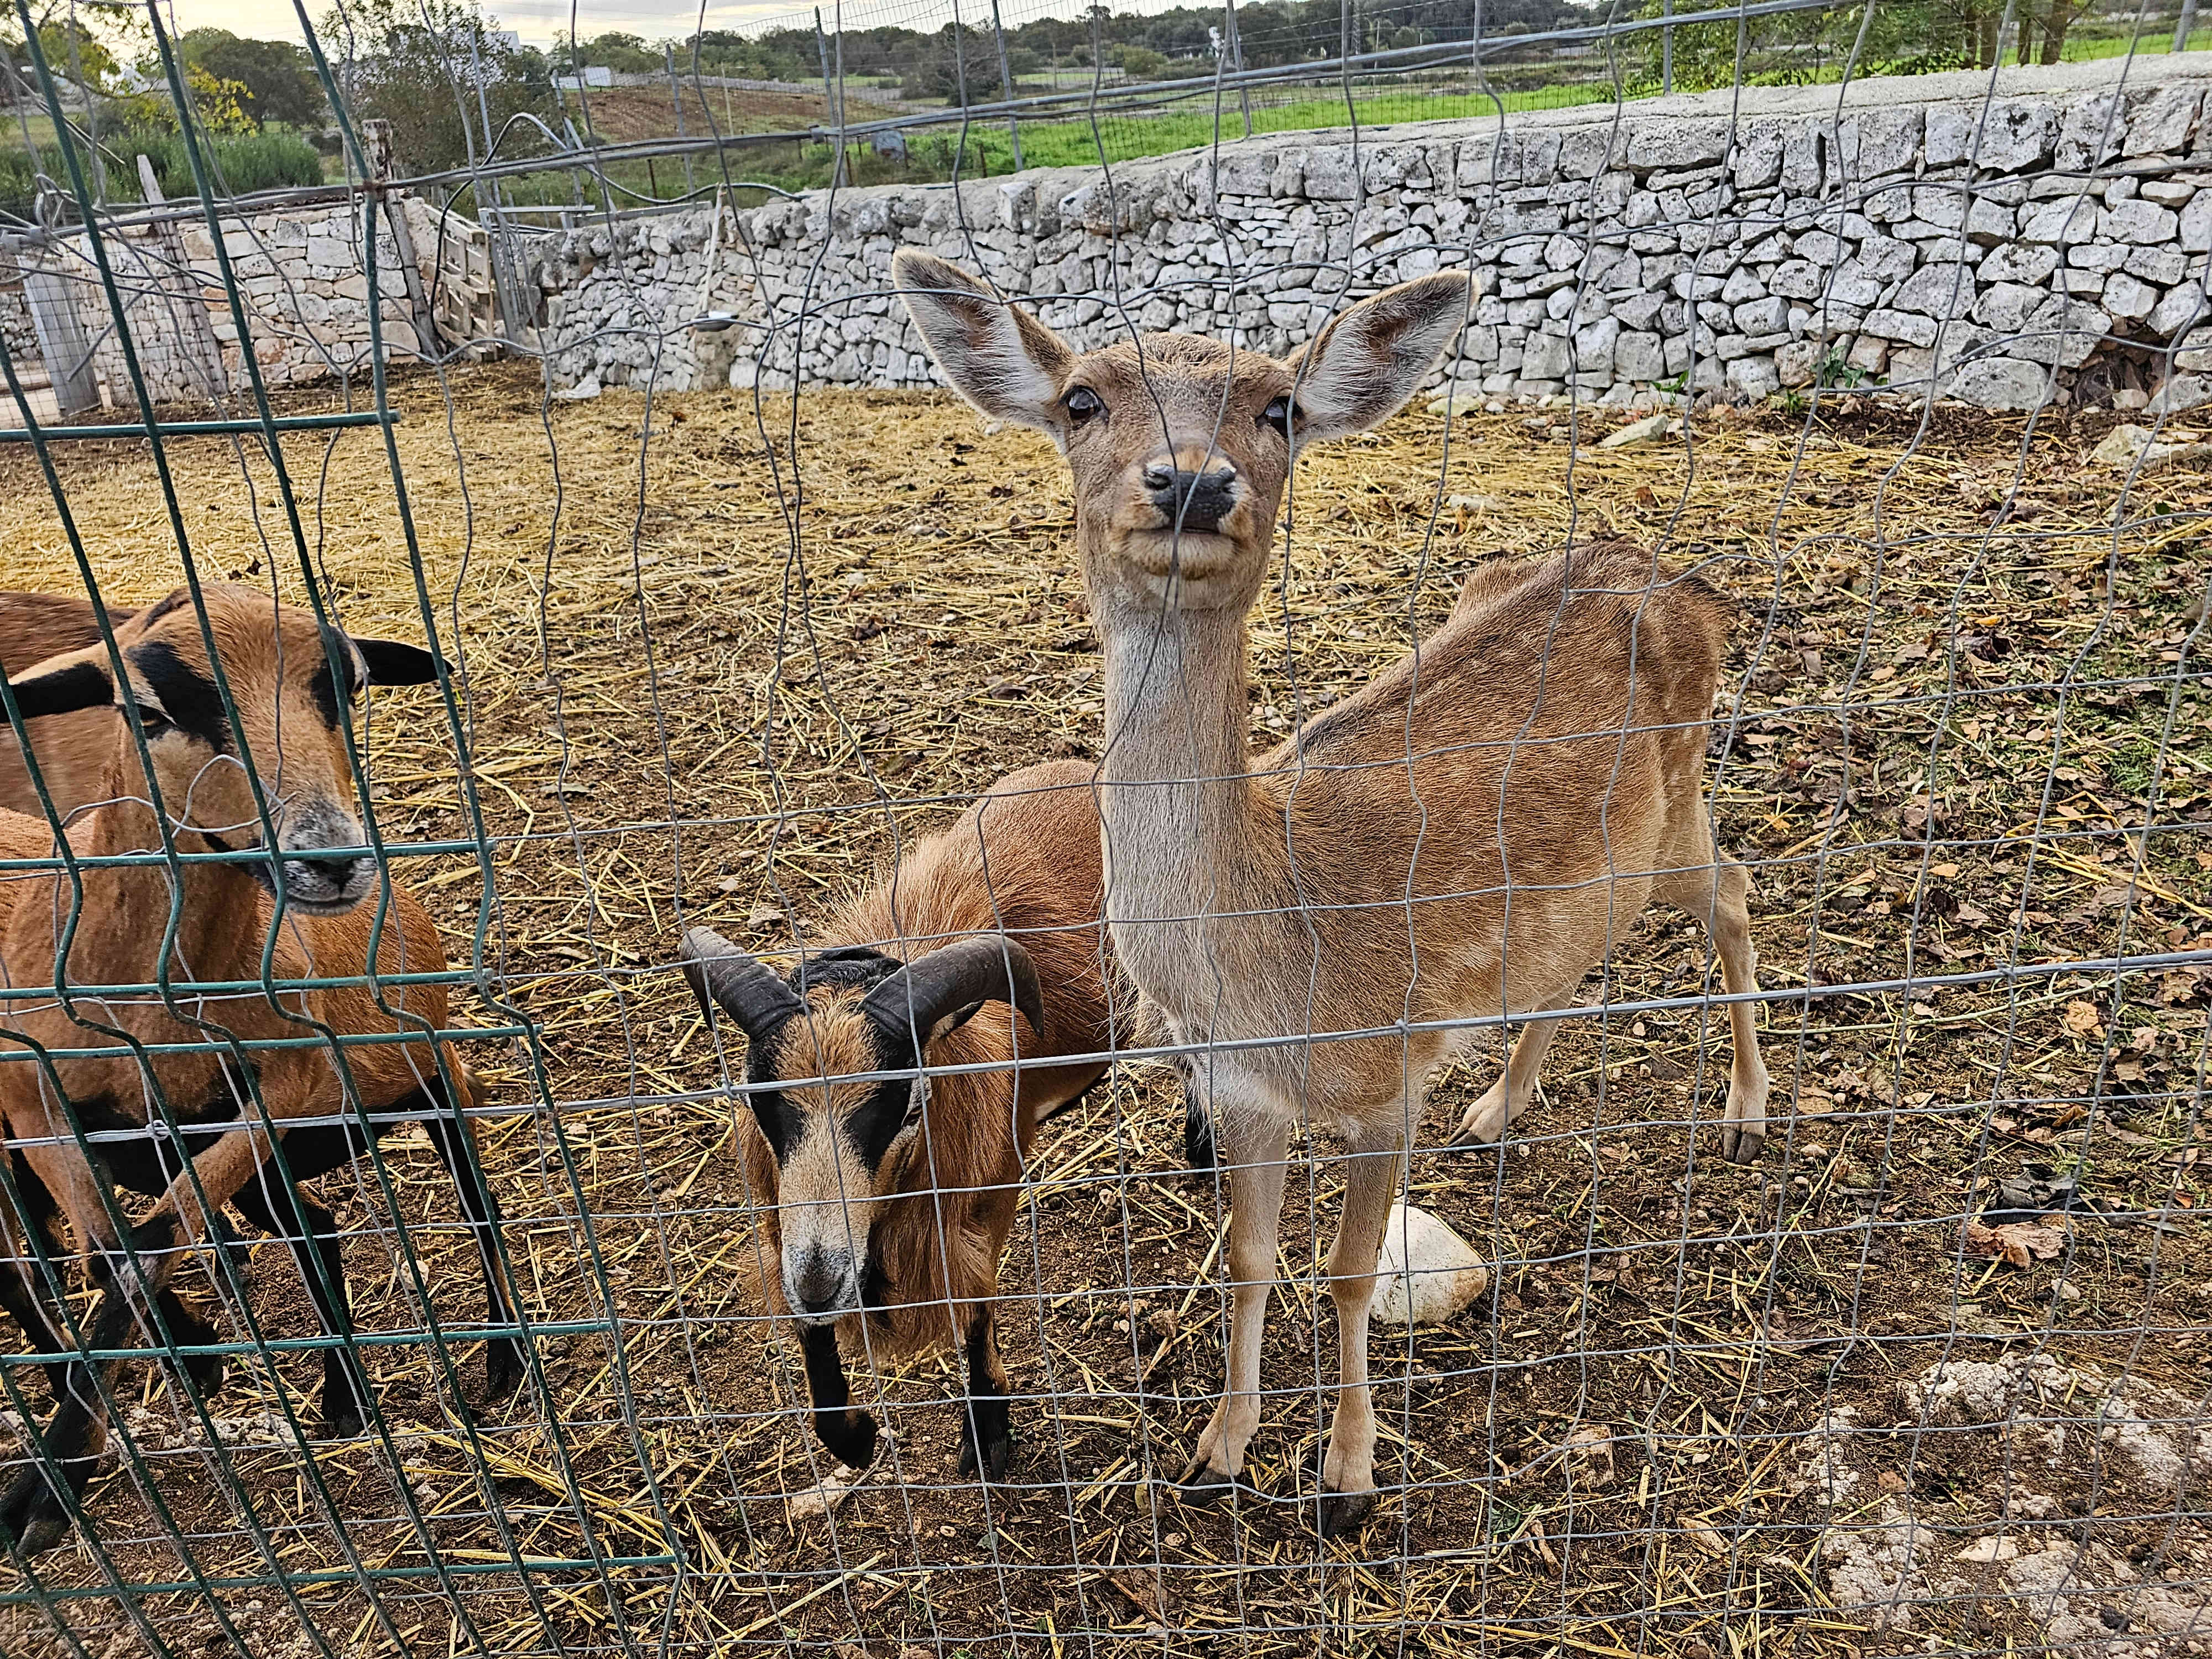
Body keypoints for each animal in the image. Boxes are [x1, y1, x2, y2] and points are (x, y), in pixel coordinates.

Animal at [681, 765, 1115, 1478]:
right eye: (757, 1102)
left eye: (911, 1108)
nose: (819, 1280)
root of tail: (1081, 770)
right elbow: (816, 1344)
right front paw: (854, 1437)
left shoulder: (986, 1200)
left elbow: (976, 1309)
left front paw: (987, 1432)